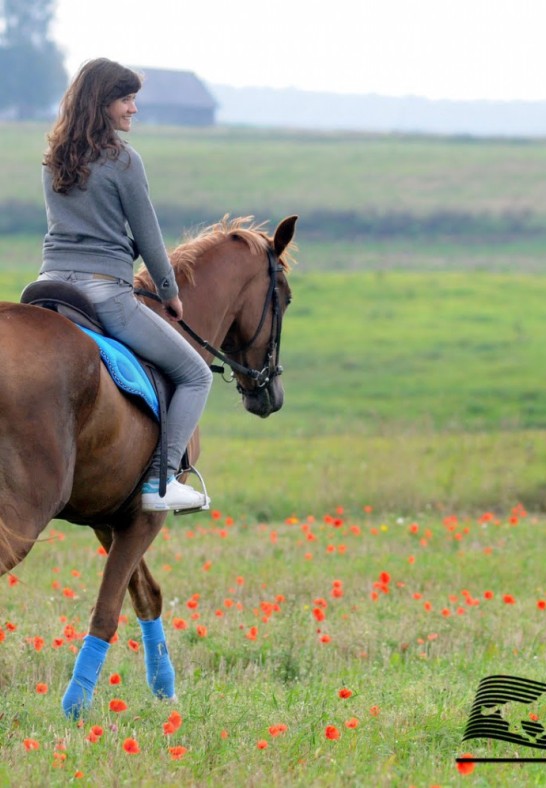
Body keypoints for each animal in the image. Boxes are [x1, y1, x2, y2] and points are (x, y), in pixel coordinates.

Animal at [0, 212, 296, 716]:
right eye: (287, 298)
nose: (269, 393)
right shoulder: (146, 514)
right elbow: (108, 610)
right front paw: (76, 707)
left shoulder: (109, 515)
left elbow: (145, 596)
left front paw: (164, 687)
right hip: (22, 516)